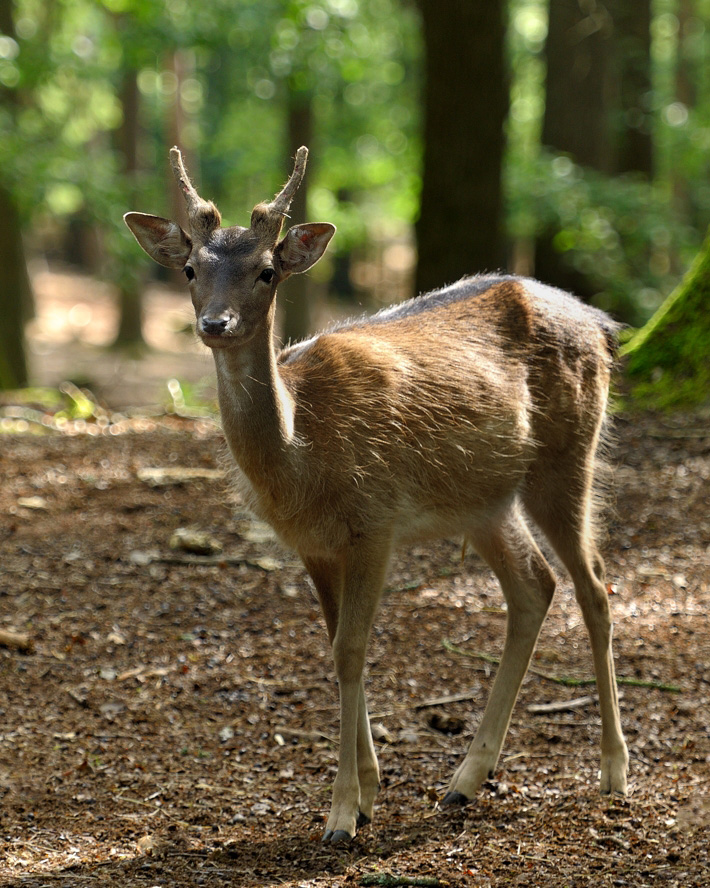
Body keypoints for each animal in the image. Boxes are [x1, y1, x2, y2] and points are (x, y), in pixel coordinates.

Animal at [125, 147, 632, 848]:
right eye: (191, 267)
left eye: (266, 270)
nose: (215, 323)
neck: (302, 456)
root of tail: (605, 326)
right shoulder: (311, 543)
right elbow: (337, 645)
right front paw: (367, 794)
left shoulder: (375, 520)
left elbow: (352, 651)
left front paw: (341, 815)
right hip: (485, 499)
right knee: (535, 586)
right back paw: (465, 780)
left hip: (566, 457)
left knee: (595, 585)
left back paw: (614, 772)